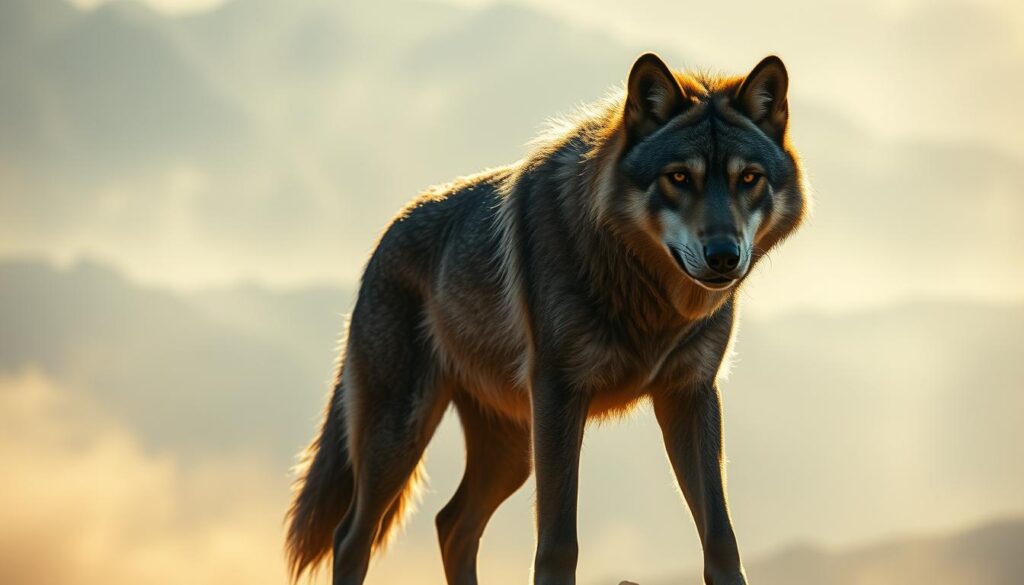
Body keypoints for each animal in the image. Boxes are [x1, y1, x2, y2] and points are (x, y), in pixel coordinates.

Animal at [285, 53, 808, 585]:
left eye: (749, 178)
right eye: (680, 177)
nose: (724, 255)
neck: (648, 299)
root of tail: (384, 235)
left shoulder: (691, 394)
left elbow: (722, 538)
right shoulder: (559, 393)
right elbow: (558, 543)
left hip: (511, 452)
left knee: (452, 524)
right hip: (401, 436)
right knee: (352, 536)